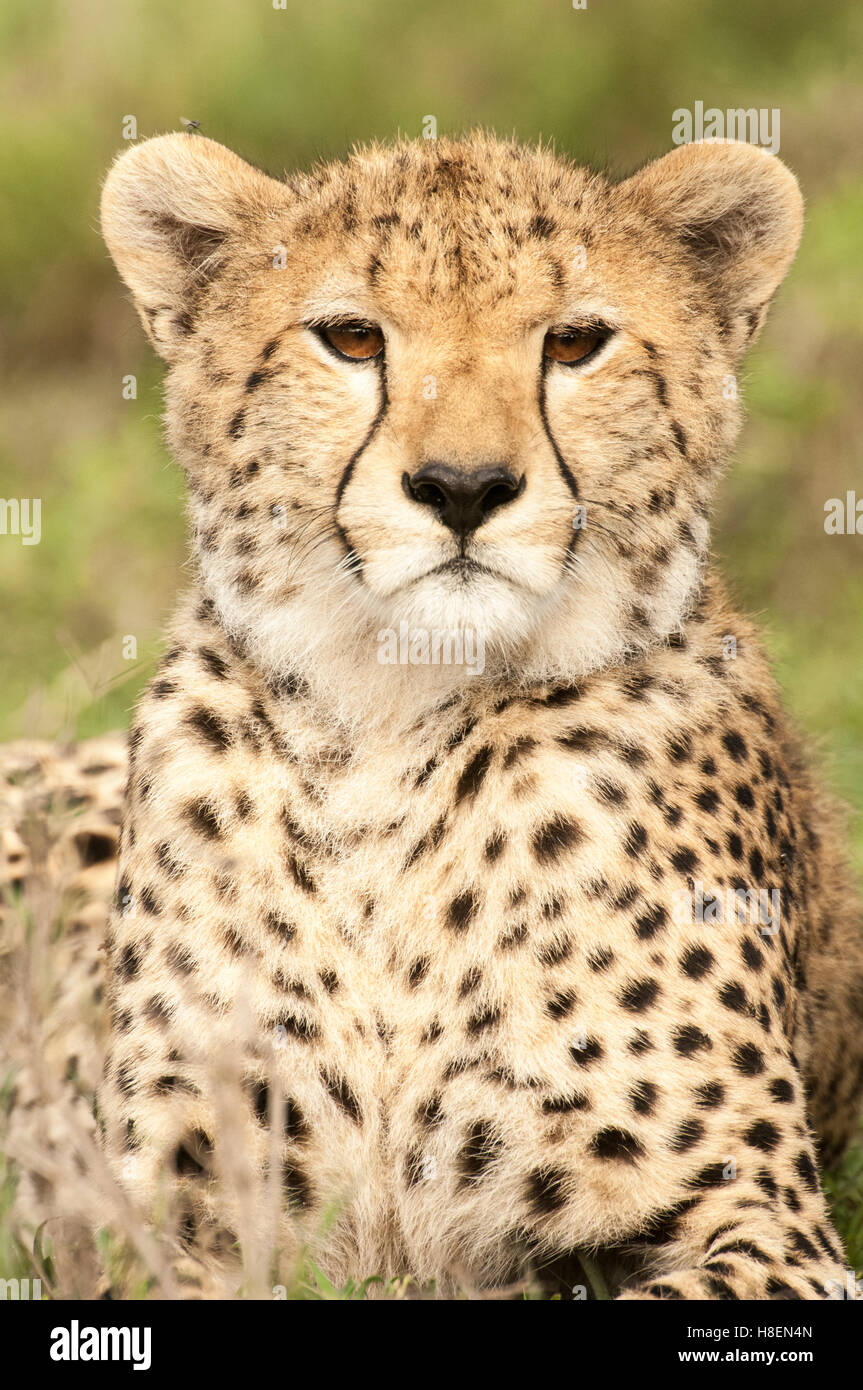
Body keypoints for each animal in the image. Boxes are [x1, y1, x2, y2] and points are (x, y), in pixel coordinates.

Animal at [6, 132, 861, 1301]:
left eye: (575, 342)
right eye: (352, 337)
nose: (463, 486)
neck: (390, 720)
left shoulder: (765, 1220)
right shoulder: (154, 1220)